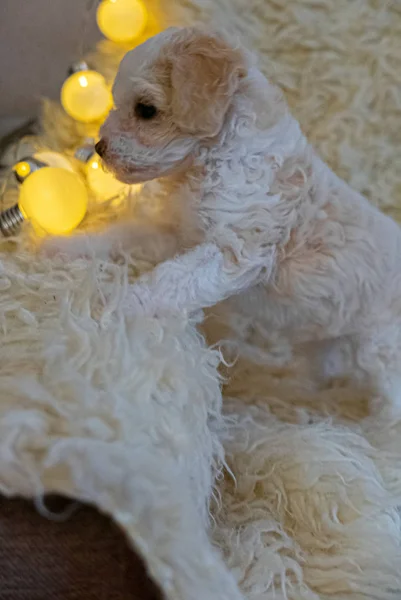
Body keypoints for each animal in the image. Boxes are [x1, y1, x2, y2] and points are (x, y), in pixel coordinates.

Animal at [46, 27, 401, 412]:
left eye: (146, 110)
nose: (99, 148)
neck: (210, 159)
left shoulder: (235, 249)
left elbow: (168, 279)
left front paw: (117, 304)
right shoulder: (174, 233)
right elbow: (122, 236)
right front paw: (63, 247)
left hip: (382, 346)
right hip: (326, 337)